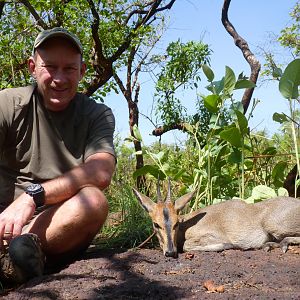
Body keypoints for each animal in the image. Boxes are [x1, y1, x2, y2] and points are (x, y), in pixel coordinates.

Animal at [132, 180, 300, 258]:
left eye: (176, 223)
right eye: (156, 224)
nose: (170, 252)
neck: (187, 225)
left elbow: (186, 246)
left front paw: (230, 245)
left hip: (273, 225)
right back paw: (269, 245)